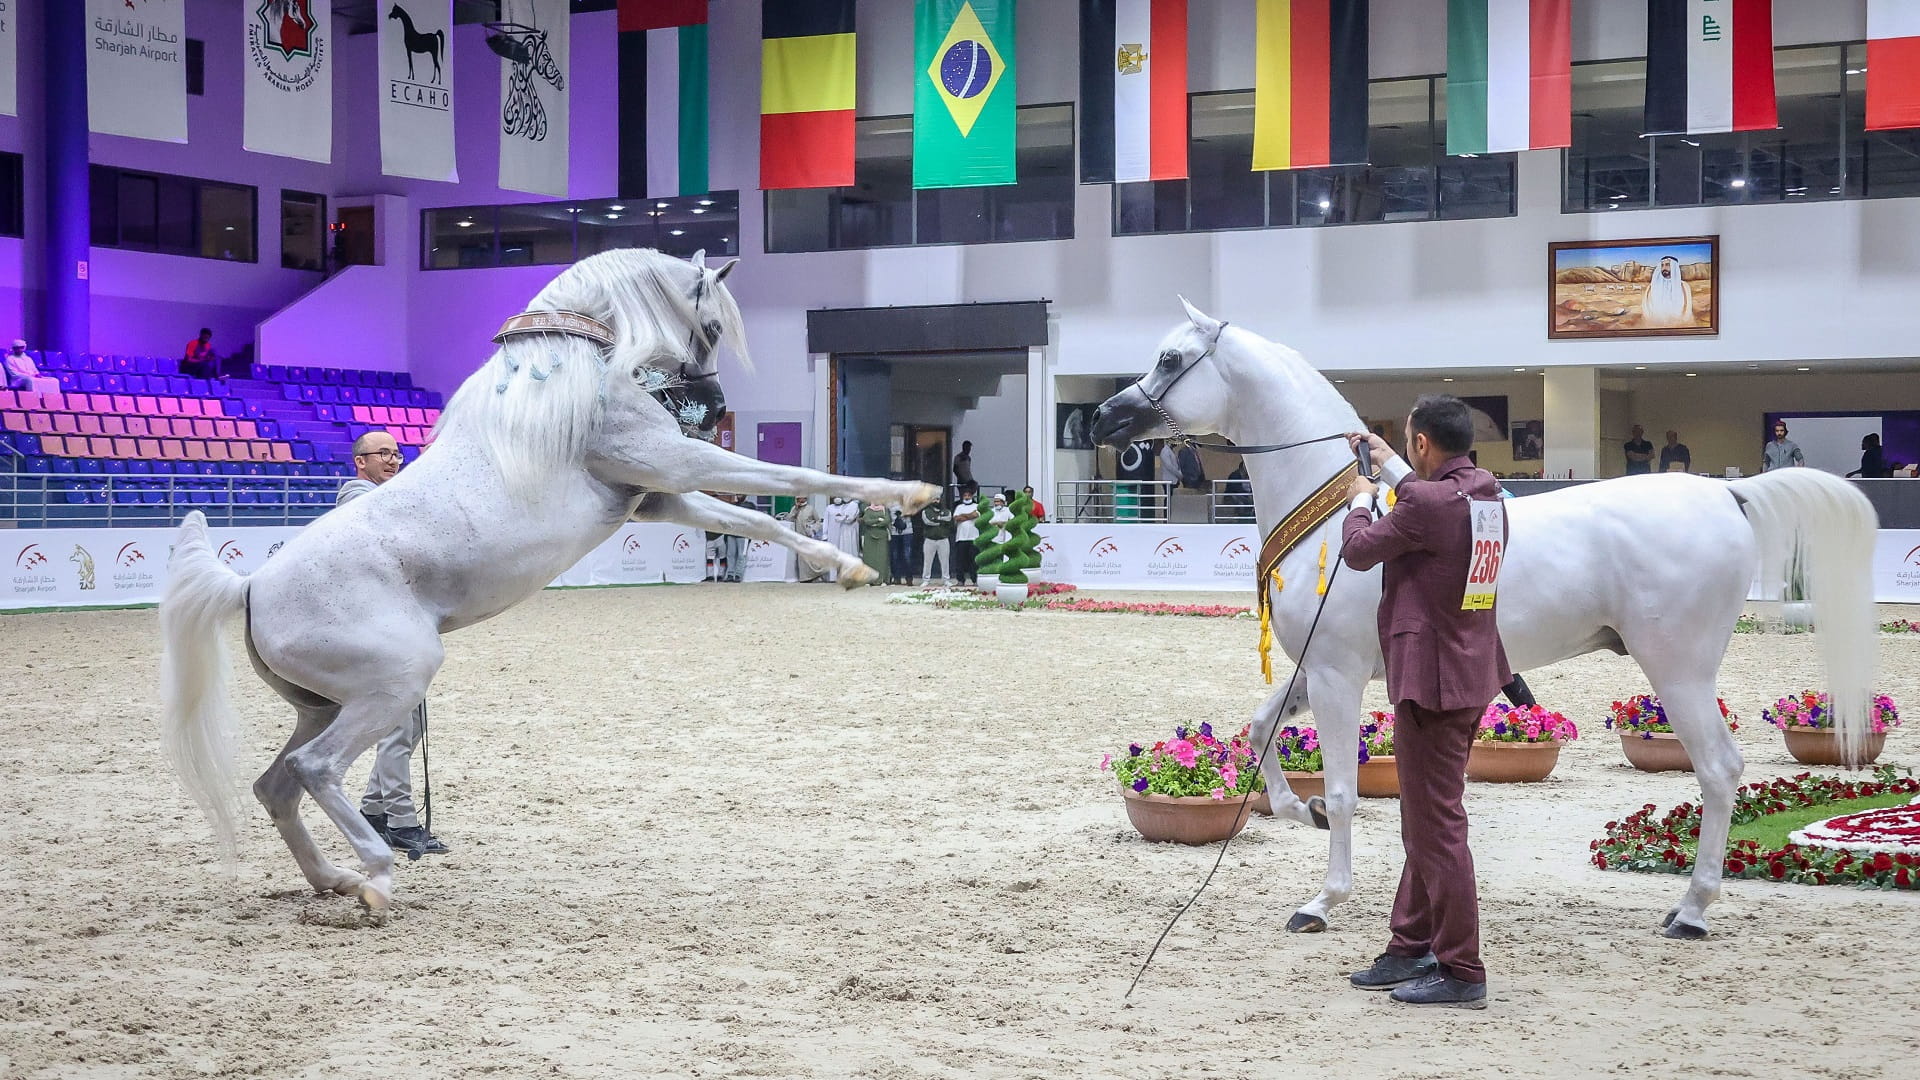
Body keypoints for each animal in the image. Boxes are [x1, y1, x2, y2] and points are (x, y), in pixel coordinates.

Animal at [159, 248, 938, 913]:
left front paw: (847, 566)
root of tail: (250, 588)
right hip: (391, 686)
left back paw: (333, 880)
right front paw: (908, 493)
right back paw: (375, 877)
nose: (715, 409)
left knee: (276, 785)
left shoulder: (655, 496)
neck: (571, 375)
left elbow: (758, 518)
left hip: (326, 704)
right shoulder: (675, 463)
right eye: (713, 325)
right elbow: (797, 475)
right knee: (315, 771)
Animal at [1091, 299, 1878, 940]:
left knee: (1719, 770)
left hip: (1678, 669)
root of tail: (1727, 495)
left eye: (1169, 359)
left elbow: (1343, 791)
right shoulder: (1321, 670)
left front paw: (1323, 901)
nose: (1103, 419)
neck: (1336, 517)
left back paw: (1690, 910)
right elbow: (1258, 733)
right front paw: (1295, 811)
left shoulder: (1340, 676)